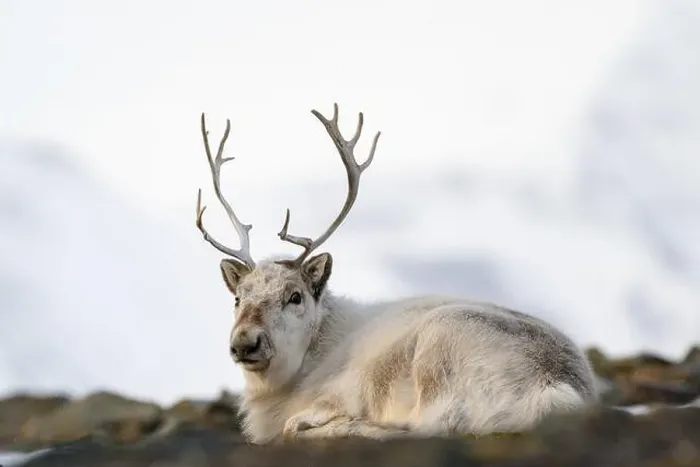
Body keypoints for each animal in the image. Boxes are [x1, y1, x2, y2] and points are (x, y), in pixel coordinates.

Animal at [193, 103, 598, 444]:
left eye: (294, 296)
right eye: (237, 298)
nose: (245, 342)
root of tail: (557, 389)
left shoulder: (340, 393)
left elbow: (300, 422)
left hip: (440, 343)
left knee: (426, 427)